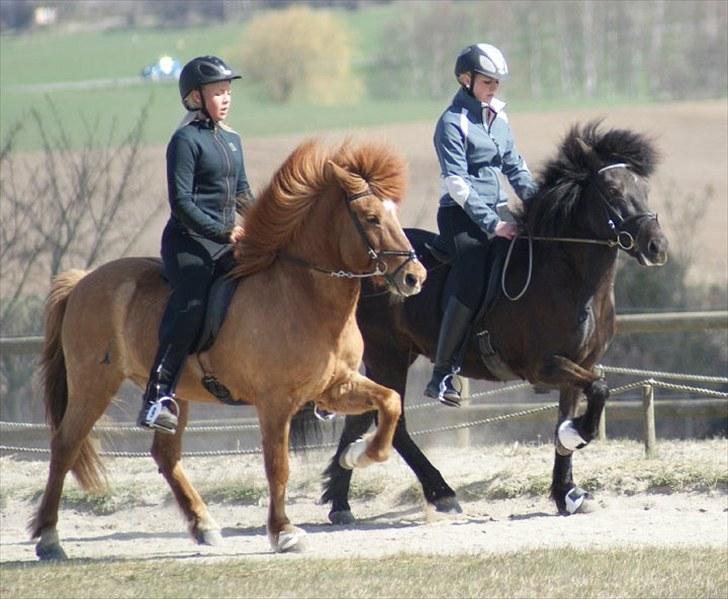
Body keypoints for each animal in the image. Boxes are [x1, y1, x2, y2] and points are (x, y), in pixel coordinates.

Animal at [29, 138, 426, 560]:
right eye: (371, 217)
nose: (415, 277)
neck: (303, 292)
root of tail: (83, 281)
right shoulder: (275, 403)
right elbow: (278, 467)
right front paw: (284, 532)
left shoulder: (333, 386)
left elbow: (390, 402)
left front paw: (358, 454)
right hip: (94, 384)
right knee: (65, 445)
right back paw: (49, 539)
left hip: (176, 395)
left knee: (165, 455)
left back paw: (204, 526)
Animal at [322, 123, 668, 524]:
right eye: (612, 191)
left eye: (644, 189)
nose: (657, 247)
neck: (567, 275)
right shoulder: (544, 366)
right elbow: (598, 390)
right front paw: (576, 437)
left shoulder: (579, 363)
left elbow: (569, 413)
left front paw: (567, 493)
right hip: (386, 355)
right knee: (395, 421)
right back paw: (440, 492)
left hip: (397, 355)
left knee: (362, 417)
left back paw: (342, 498)